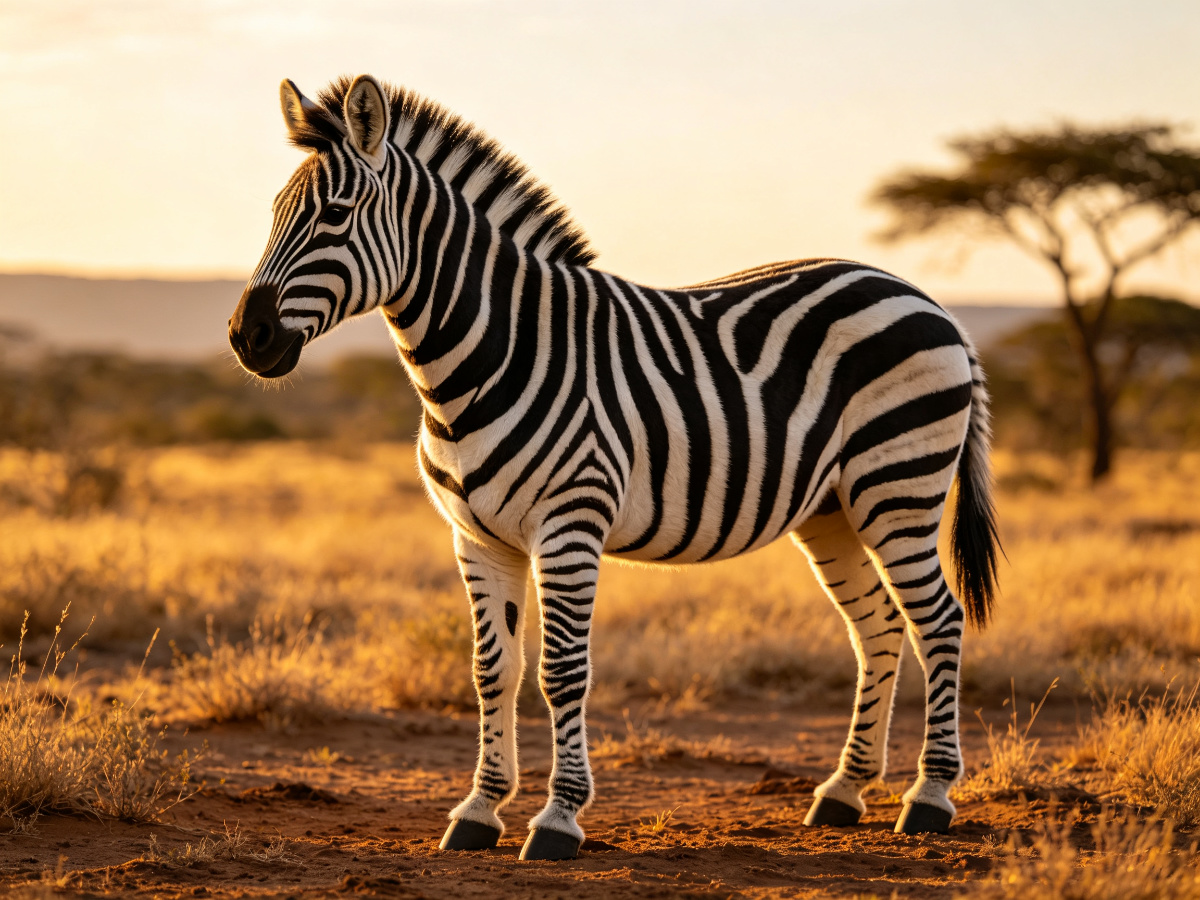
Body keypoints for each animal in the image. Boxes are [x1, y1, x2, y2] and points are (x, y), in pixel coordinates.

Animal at [229, 75, 1001, 861]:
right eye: (274, 215)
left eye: (334, 215)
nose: (245, 337)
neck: (488, 359)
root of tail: (926, 301)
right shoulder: (477, 536)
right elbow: (493, 670)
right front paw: (479, 809)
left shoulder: (570, 522)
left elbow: (561, 671)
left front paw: (558, 818)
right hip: (831, 508)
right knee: (878, 624)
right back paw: (844, 792)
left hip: (898, 485)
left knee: (937, 619)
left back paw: (929, 796)